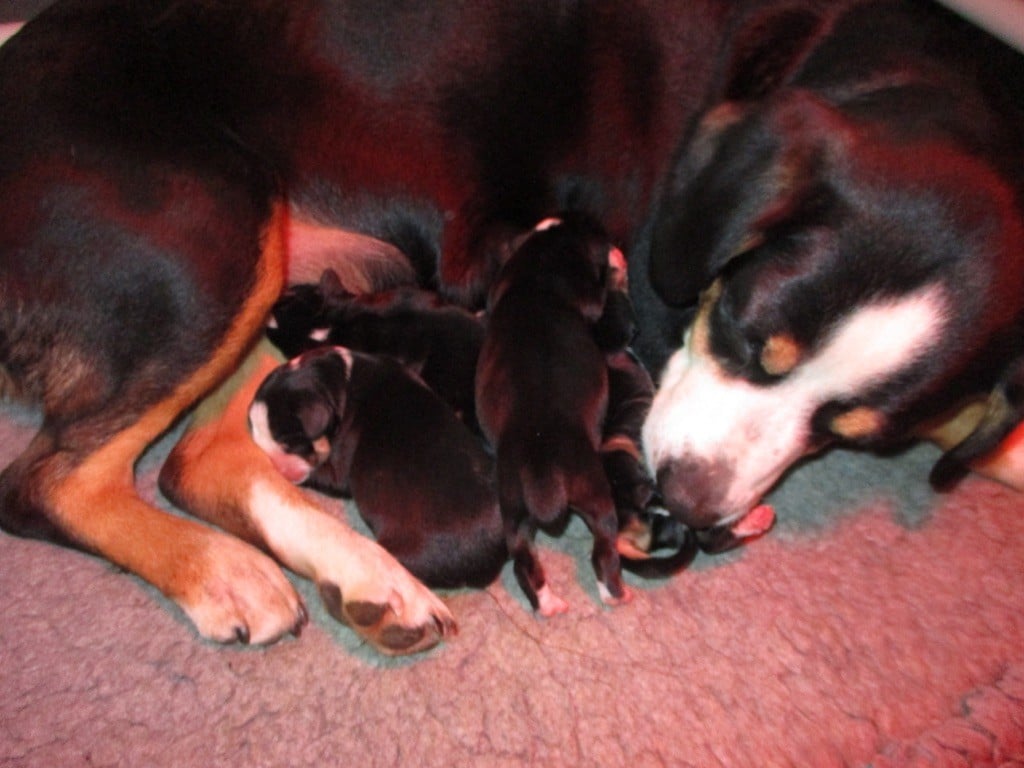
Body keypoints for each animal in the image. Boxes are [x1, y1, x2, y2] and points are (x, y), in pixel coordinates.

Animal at [247, 346, 503, 593]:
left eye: (290, 443)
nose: (281, 468)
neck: (339, 376)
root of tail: (485, 564)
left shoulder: (340, 462)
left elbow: (323, 474)